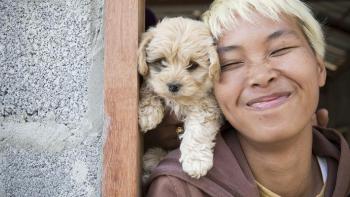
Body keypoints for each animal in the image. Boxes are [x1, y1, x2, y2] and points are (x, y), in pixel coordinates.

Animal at [138, 17, 223, 179]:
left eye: (192, 65)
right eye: (162, 62)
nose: (173, 86)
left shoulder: (206, 105)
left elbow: (198, 131)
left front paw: (196, 161)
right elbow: (150, 87)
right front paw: (147, 114)